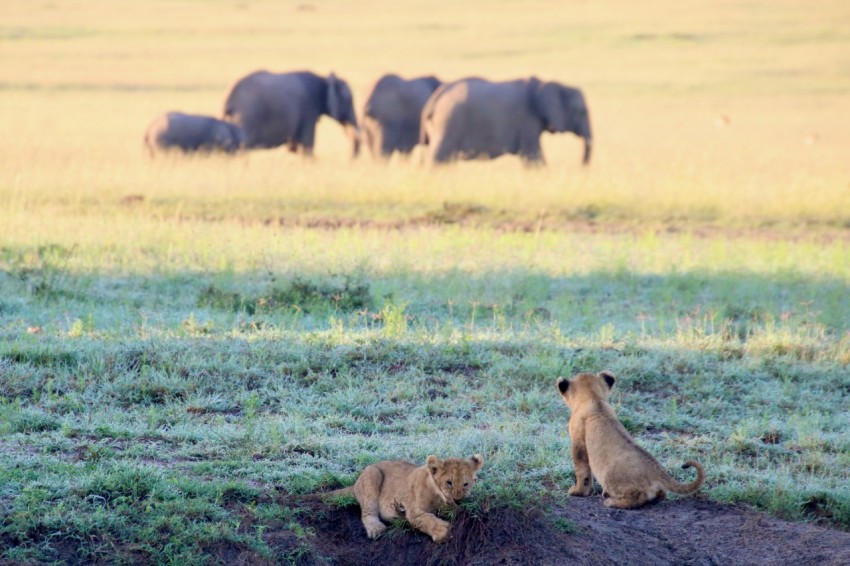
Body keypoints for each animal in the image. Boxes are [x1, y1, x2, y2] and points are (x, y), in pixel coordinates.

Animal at [310, 454, 484, 543]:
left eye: (466, 484)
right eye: (449, 482)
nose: (459, 498)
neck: (440, 498)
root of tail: (355, 484)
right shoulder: (413, 511)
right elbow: (426, 519)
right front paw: (443, 532)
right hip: (372, 474)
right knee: (367, 512)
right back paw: (375, 528)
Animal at [556, 371, 704, 509]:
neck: (594, 399)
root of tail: (657, 470)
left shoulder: (578, 441)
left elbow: (582, 470)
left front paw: (578, 492)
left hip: (609, 475)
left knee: (638, 496)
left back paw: (612, 502)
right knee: (662, 494)